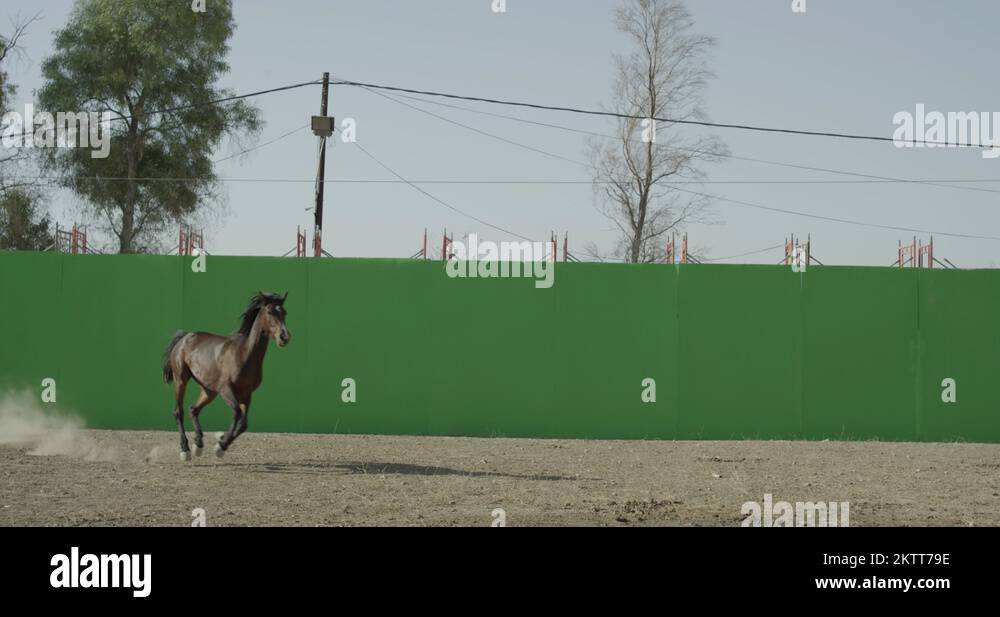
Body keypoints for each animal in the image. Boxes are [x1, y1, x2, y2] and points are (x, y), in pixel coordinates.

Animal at [162, 292, 290, 461]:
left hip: (209, 391)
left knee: (193, 410)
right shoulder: (226, 389)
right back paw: (185, 450)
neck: (244, 355)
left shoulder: (246, 394)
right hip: (181, 380)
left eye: (284, 312)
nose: (284, 337)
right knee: (178, 412)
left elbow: (243, 424)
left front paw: (221, 442)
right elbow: (237, 413)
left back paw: (198, 445)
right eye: (269, 311)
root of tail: (184, 338)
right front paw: (220, 445)